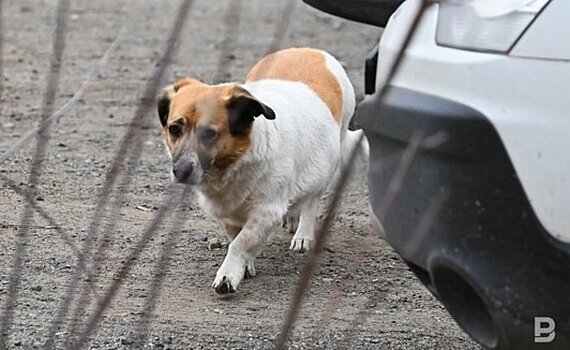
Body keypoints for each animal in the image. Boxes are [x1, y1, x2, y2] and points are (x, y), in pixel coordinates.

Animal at [155, 45, 364, 292]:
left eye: (209, 133)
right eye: (174, 129)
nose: (180, 171)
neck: (235, 165)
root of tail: (308, 50)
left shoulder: (266, 212)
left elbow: (239, 243)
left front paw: (228, 274)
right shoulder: (228, 216)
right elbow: (237, 237)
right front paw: (246, 265)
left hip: (326, 166)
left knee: (312, 200)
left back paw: (303, 234)